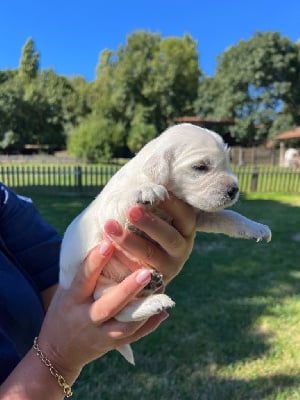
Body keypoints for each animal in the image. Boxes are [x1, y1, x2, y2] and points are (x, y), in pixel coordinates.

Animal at [59, 125, 272, 366]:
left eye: (227, 162)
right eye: (200, 167)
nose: (234, 189)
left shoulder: (198, 214)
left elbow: (229, 216)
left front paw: (257, 228)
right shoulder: (111, 212)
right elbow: (122, 198)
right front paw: (146, 191)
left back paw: (150, 285)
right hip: (100, 287)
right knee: (119, 310)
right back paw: (155, 301)